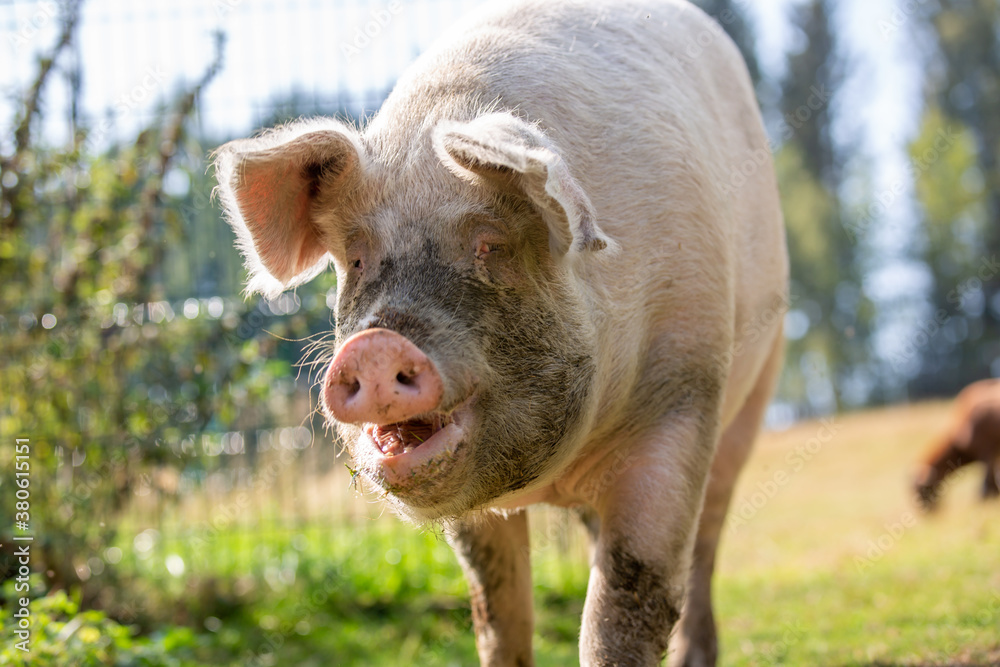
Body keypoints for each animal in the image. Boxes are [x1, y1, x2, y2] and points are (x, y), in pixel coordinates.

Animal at [213, 1, 787, 665]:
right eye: (356, 257)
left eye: (490, 245)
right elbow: (497, 610)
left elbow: (623, 605)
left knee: (708, 538)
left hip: (758, 382)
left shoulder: (684, 391)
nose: (375, 346)